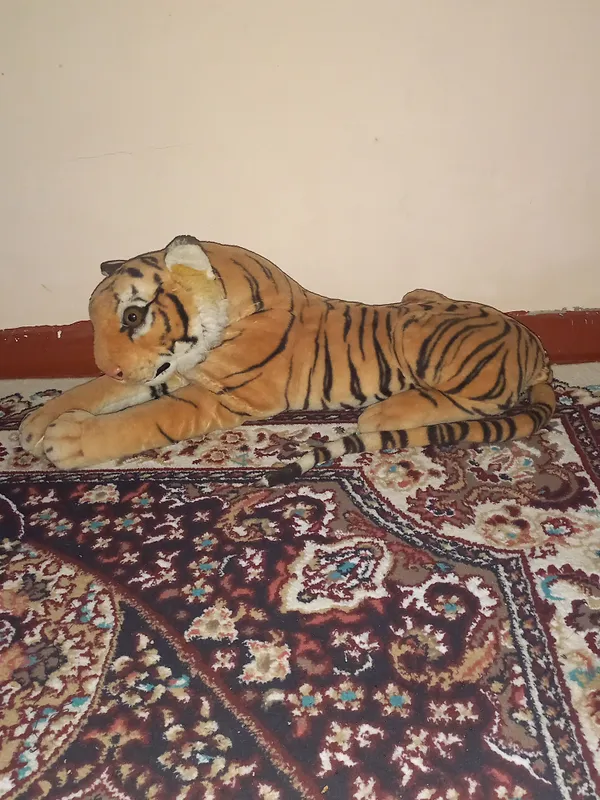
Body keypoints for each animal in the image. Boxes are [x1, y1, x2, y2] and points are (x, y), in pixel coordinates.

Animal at [20, 235, 555, 484]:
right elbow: (104, 391)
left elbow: (145, 419)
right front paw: (37, 422)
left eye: (132, 316)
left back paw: (384, 413)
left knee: (465, 402)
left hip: (419, 331)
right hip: (416, 296)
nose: (110, 364)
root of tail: (533, 345)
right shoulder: (176, 369)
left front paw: (69, 439)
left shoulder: (223, 398)